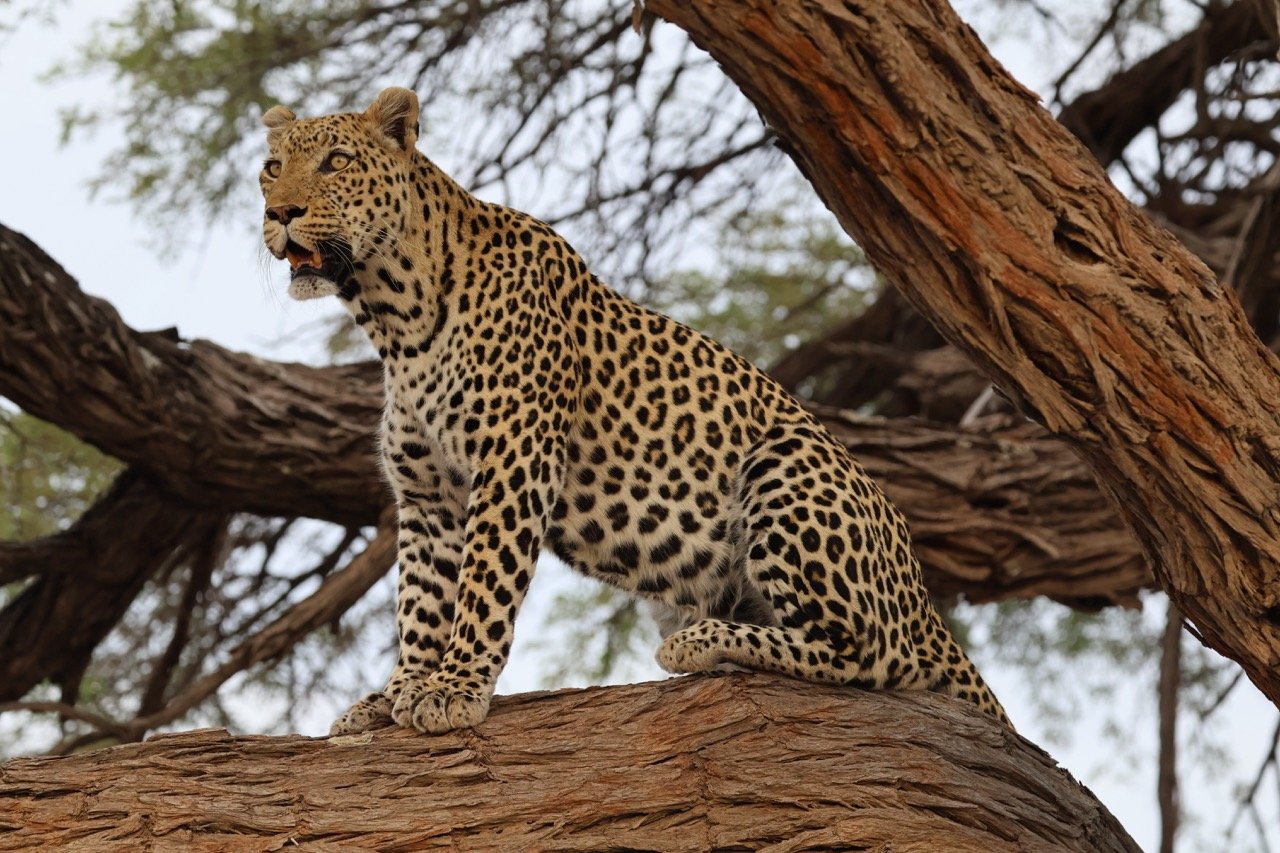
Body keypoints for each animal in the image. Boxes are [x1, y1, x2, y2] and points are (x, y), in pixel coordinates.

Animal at [260, 87, 1013, 735]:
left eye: (336, 162)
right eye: (271, 169)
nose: (280, 214)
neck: (395, 317)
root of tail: (925, 605)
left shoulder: (511, 467)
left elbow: (482, 585)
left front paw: (454, 687)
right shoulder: (426, 497)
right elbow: (420, 603)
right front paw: (399, 690)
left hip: (788, 464)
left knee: (871, 654)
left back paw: (703, 643)